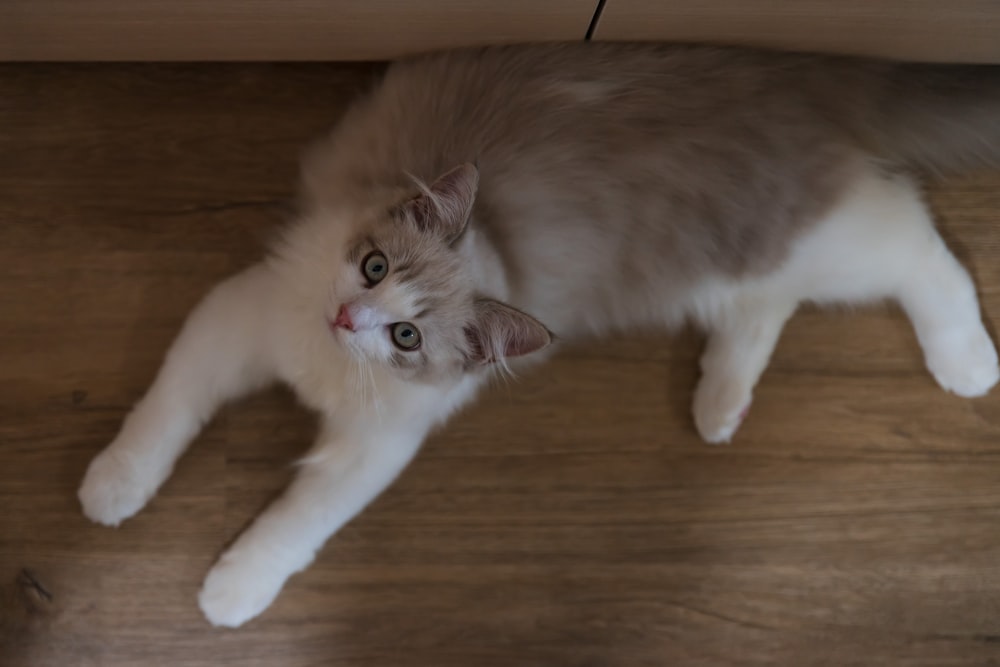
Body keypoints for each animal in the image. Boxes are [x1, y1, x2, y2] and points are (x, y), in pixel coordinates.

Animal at [76, 43, 1000, 632]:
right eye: (372, 267)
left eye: (406, 336)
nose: (347, 320)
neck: (323, 361)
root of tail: (795, 65)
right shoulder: (240, 318)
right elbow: (162, 413)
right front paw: (113, 488)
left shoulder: (373, 445)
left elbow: (293, 524)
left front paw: (232, 590)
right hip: (739, 267)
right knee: (773, 303)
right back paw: (718, 407)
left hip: (811, 239)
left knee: (916, 243)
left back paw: (966, 361)